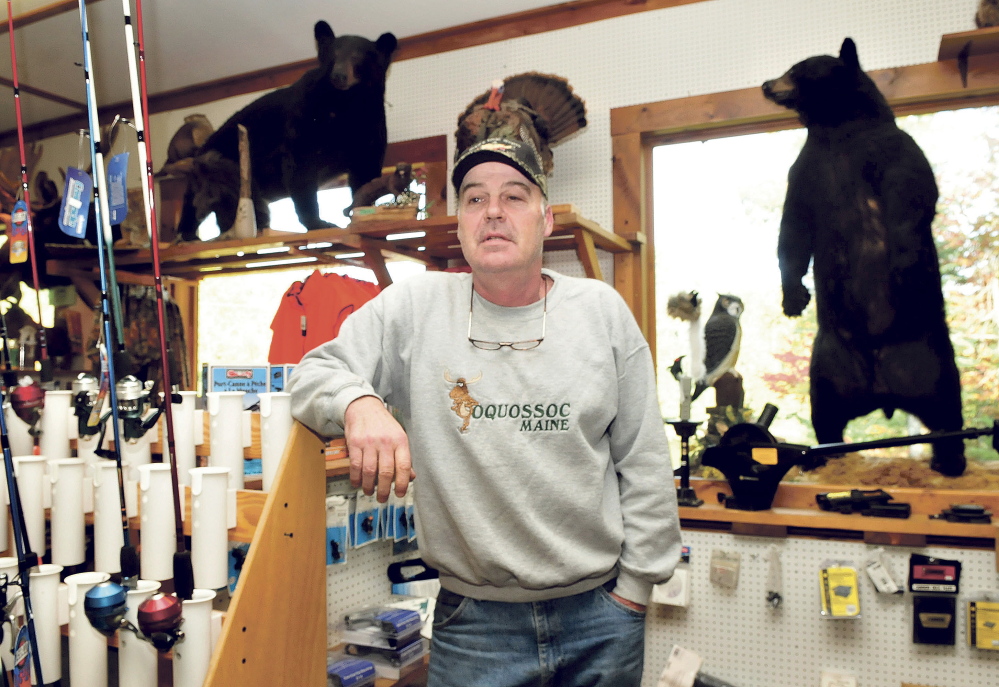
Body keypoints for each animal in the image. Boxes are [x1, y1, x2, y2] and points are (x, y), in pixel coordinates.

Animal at [176, 20, 398, 242]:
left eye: (357, 55)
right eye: (333, 53)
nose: (339, 75)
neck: (345, 105)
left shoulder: (369, 125)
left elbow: (366, 170)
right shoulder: (303, 119)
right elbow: (300, 169)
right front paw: (318, 222)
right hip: (222, 165)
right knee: (196, 200)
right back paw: (191, 233)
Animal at [764, 37, 968, 478]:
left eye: (796, 68)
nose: (767, 84)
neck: (835, 132)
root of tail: (883, 391)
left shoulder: (893, 150)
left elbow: (912, 196)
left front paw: (903, 264)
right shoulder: (804, 173)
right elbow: (793, 230)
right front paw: (793, 297)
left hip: (932, 358)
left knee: (948, 407)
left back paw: (950, 460)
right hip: (827, 366)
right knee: (825, 412)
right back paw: (820, 456)